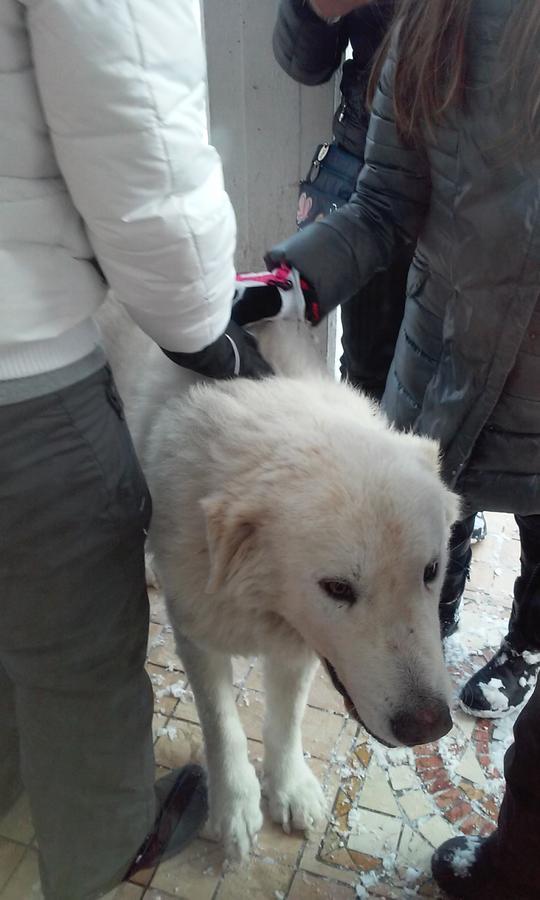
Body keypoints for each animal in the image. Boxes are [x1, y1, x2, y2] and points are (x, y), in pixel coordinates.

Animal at [98, 300, 460, 856]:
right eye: (338, 589)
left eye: (431, 571)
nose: (429, 727)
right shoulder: (197, 634)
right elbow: (221, 726)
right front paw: (234, 809)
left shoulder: (299, 642)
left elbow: (287, 720)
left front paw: (288, 790)